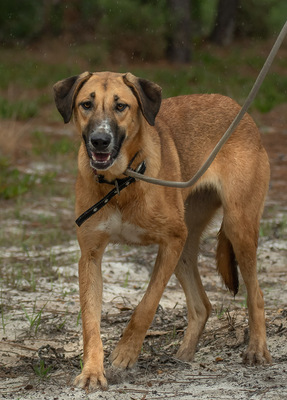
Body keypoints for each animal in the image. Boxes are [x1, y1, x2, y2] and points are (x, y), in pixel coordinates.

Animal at [54, 72, 272, 390]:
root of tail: (238, 110)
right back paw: (183, 357)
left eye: (121, 106)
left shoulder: (171, 241)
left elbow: (146, 306)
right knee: (202, 305)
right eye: (86, 104)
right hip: (186, 247)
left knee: (256, 294)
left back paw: (256, 350)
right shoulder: (90, 256)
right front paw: (92, 371)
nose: (100, 141)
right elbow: (90, 322)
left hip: (237, 227)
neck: (121, 183)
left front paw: (125, 354)